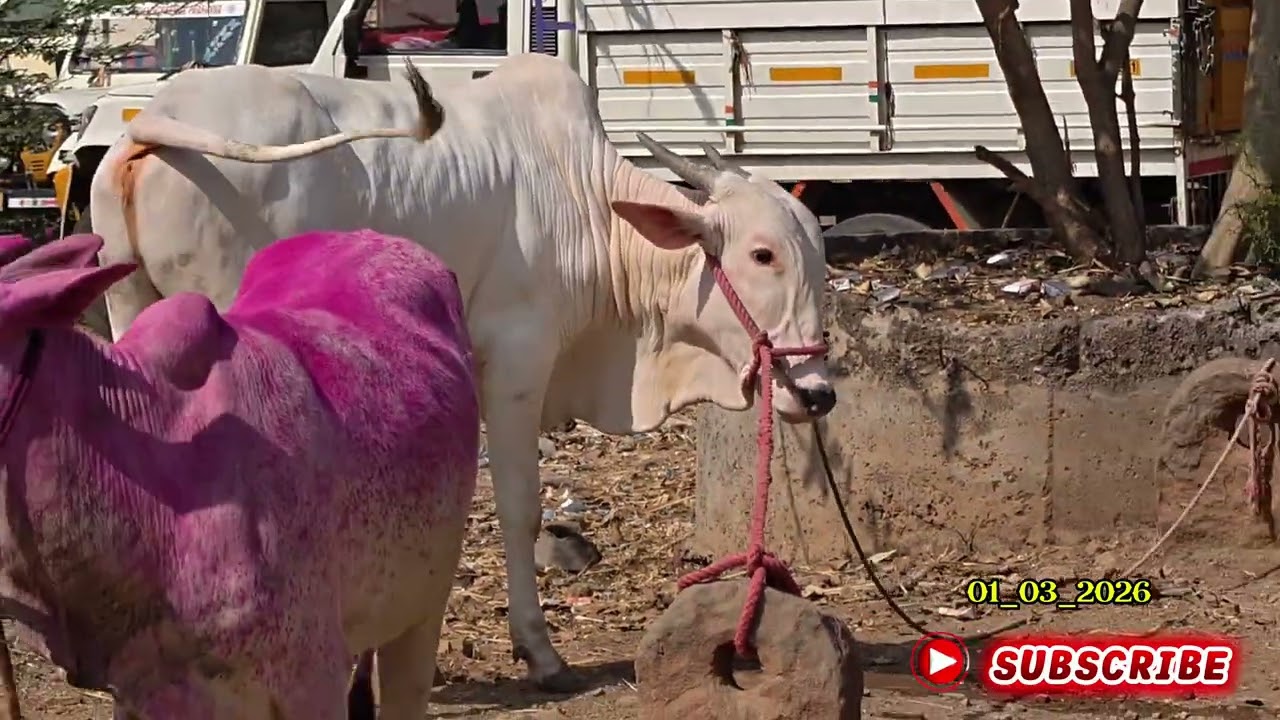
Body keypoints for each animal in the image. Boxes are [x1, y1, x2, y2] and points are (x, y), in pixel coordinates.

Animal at [88, 52, 837, 691]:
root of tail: (153, 120)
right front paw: (539, 651)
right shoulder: (514, 363)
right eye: (763, 254)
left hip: (135, 316)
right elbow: (519, 507)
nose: (819, 393)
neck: (588, 205)